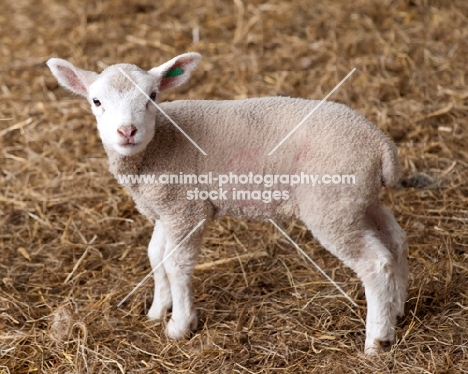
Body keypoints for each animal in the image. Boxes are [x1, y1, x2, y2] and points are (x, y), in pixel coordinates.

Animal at [45, 51, 408, 354]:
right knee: (396, 240)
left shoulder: (186, 209)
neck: (158, 147)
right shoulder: (166, 209)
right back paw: (398, 307)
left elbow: (176, 264)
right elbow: (156, 256)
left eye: (152, 97)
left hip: (330, 205)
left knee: (375, 263)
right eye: (96, 101)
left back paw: (377, 339)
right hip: (355, 199)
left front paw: (180, 325)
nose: (127, 131)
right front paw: (157, 310)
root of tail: (381, 145)